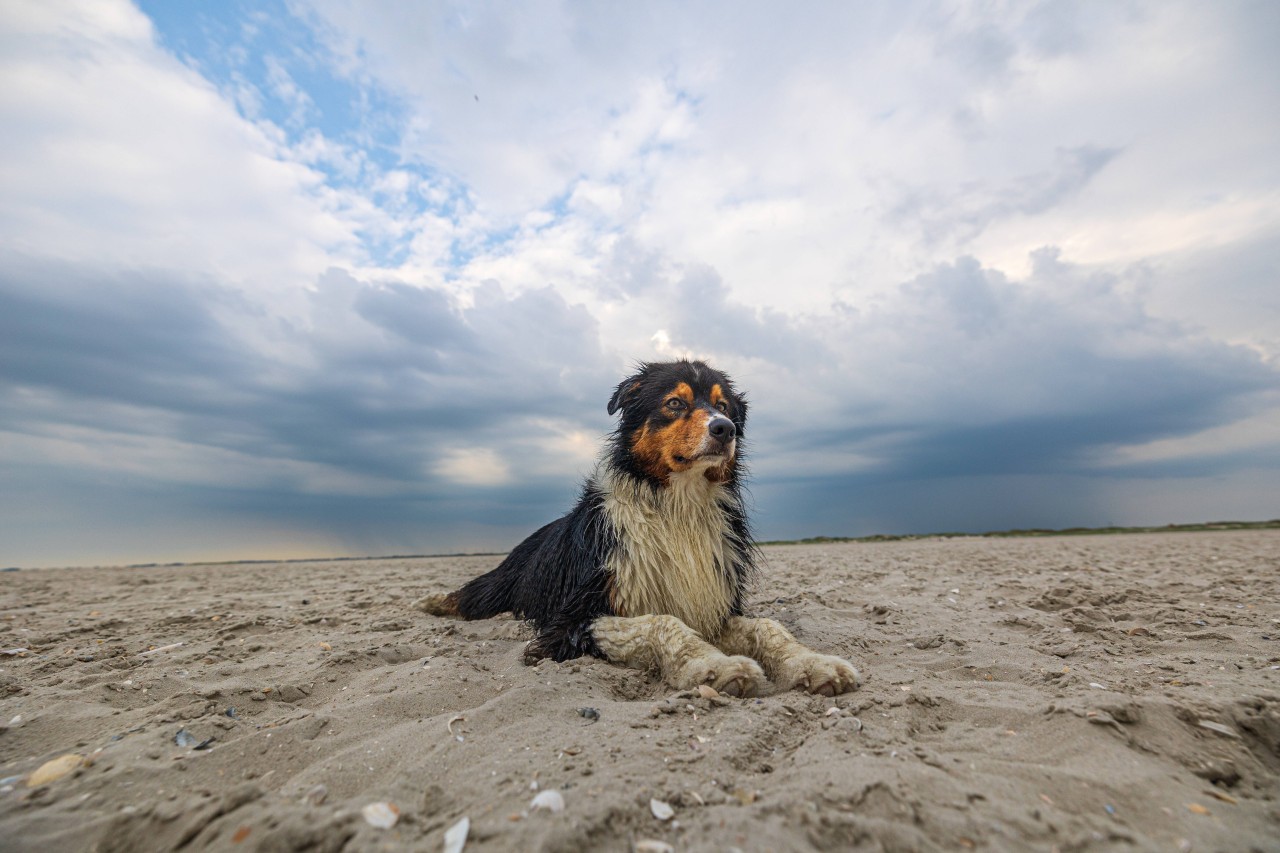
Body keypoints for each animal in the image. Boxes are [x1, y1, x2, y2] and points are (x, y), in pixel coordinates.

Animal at [419, 356, 860, 696]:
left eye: (725, 406)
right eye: (675, 403)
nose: (725, 429)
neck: (677, 505)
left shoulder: (709, 604)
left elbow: (769, 628)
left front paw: (813, 664)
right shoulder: (573, 621)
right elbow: (662, 623)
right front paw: (714, 667)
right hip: (501, 583)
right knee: (471, 595)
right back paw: (430, 602)